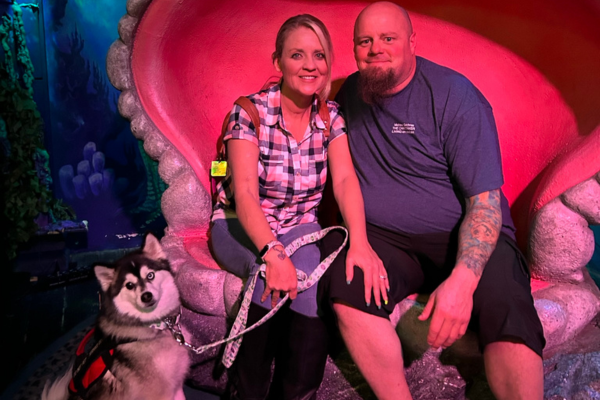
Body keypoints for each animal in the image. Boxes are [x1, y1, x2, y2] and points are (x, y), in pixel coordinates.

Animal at [42, 234, 190, 400]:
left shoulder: (176, 386)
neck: (158, 325)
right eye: (129, 285)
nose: (146, 296)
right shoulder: (161, 394)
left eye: (150, 275)